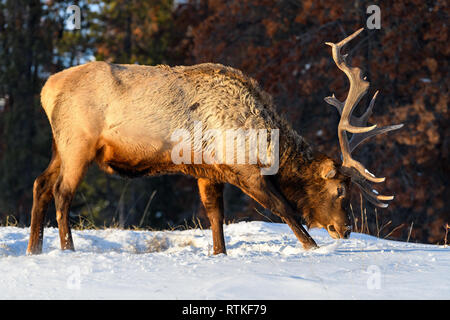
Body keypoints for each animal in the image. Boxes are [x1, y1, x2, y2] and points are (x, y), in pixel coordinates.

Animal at [26, 28, 402, 256]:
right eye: (339, 190)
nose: (346, 229)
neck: (265, 141)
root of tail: (45, 90)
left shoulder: (209, 171)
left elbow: (215, 217)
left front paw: (219, 254)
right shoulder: (245, 170)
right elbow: (285, 209)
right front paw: (312, 248)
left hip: (59, 145)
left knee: (40, 183)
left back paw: (34, 248)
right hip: (77, 144)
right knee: (62, 192)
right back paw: (67, 249)